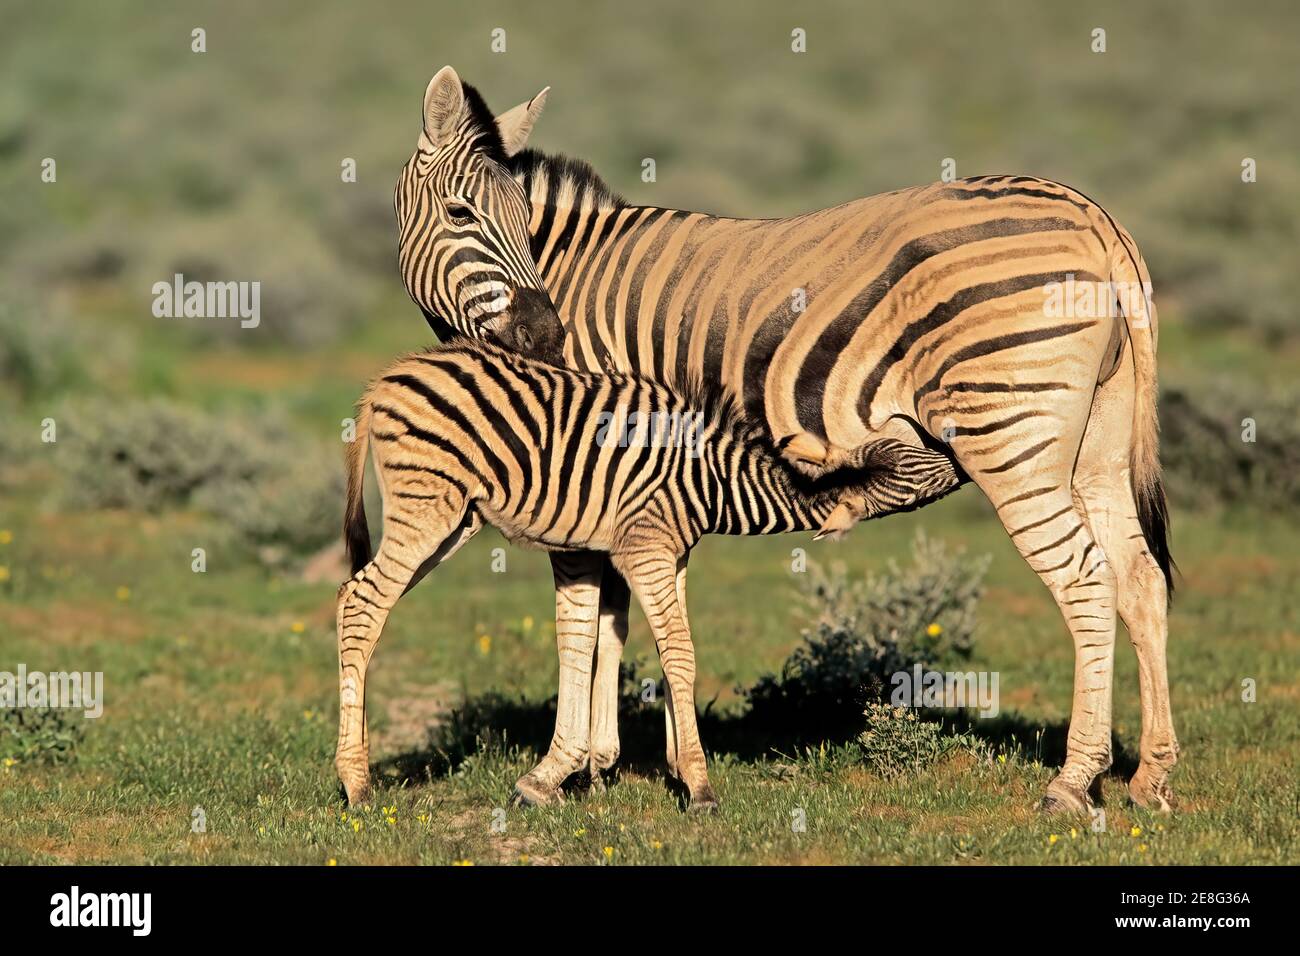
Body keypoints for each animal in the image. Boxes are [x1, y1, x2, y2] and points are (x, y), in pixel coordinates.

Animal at [334, 339, 960, 809]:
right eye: (921, 467)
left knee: (350, 597)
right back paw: (357, 785)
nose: (956, 445)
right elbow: (680, 652)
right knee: (365, 602)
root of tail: (384, 381)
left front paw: (674, 769)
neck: (712, 480)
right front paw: (701, 786)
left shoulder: (673, 555)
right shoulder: (647, 549)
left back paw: (356, 765)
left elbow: (665, 650)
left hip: (455, 520)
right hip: (428, 508)